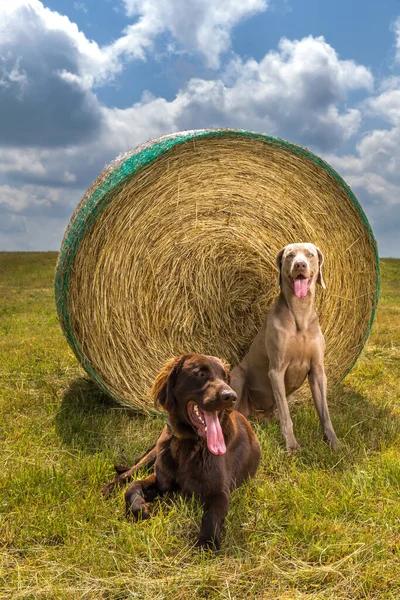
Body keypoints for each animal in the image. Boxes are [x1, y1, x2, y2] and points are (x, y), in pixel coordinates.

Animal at [101, 354, 260, 552]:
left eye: (225, 377)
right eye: (200, 373)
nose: (230, 396)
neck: (190, 444)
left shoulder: (219, 493)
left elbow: (212, 516)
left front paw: (206, 544)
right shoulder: (161, 480)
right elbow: (132, 487)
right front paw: (141, 509)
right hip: (154, 453)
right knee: (132, 470)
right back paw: (111, 485)